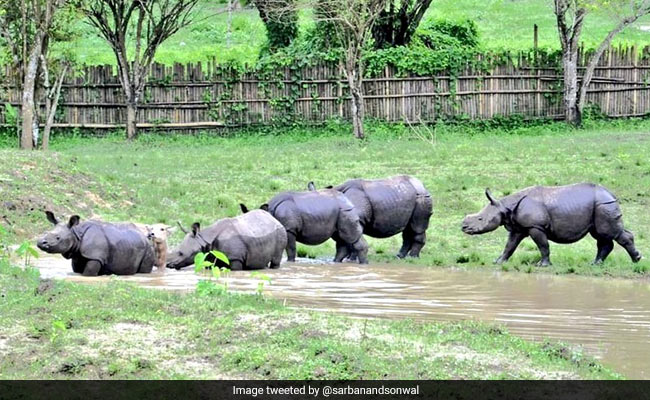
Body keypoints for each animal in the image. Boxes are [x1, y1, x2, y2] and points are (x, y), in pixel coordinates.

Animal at [461, 184, 642, 266]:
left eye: (480, 219)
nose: (463, 227)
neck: (505, 207)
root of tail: (611, 194)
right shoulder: (519, 227)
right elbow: (510, 245)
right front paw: (498, 262)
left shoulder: (536, 226)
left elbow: (543, 245)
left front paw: (542, 265)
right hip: (600, 206)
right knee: (601, 236)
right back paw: (595, 264)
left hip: (604, 205)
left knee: (610, 234)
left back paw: (636, 260)